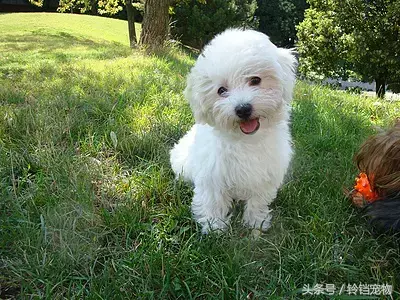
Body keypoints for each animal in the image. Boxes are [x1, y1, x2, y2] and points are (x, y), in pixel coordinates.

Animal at [170, 28, 296, 234]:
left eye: (255, 80)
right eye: (221, 90)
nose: (243, 108)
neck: (246, 140)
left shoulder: (265, 175)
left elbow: (258, 200)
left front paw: (256, 222)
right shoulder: (212, 173)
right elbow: (213, 200)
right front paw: (214, 226)